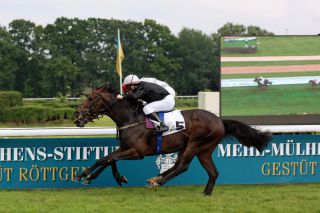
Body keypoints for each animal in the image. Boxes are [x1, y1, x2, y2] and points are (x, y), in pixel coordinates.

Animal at [74, 84, 272, 196]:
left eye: (90, 98)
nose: (77, 116)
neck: (131, 118)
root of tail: (219, 120)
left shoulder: (137, 152)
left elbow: (109, 159)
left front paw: (89, 175)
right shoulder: (125, 148)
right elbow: (106, 159)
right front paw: (87, 175)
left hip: (195, 144)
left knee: (182, 167)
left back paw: (157, 181)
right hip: (201, 150)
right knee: (209, 172)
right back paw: (203, 193)